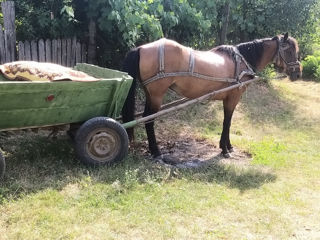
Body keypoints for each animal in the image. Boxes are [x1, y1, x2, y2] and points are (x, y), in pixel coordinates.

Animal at [121, 31, 302, 159]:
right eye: (289, 50)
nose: (298, 74)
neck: (242, 61)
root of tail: (141, 48)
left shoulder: (228, 99)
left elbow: (228, 122)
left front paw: (228, 146)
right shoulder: (233, 98)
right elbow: (227, 121)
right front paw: (225, 149)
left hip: (150, 94)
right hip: (157, 95)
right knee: (148, 120)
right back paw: (156, 151)